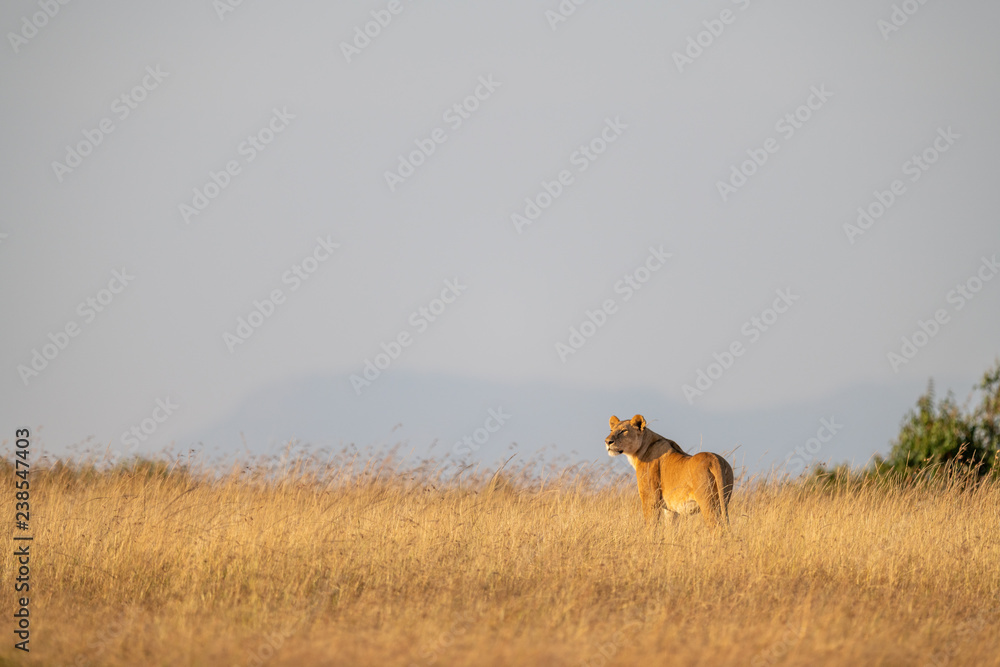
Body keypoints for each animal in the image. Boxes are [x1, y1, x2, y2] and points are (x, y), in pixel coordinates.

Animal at [605, 414, 734, 529]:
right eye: (611, 430)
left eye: (623, 431)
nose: (607, 442)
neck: (639, 451)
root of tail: (714, 459)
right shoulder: (670, 510)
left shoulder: (650, 499)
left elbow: (650, 527)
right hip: (723, 500)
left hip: (707, 502)